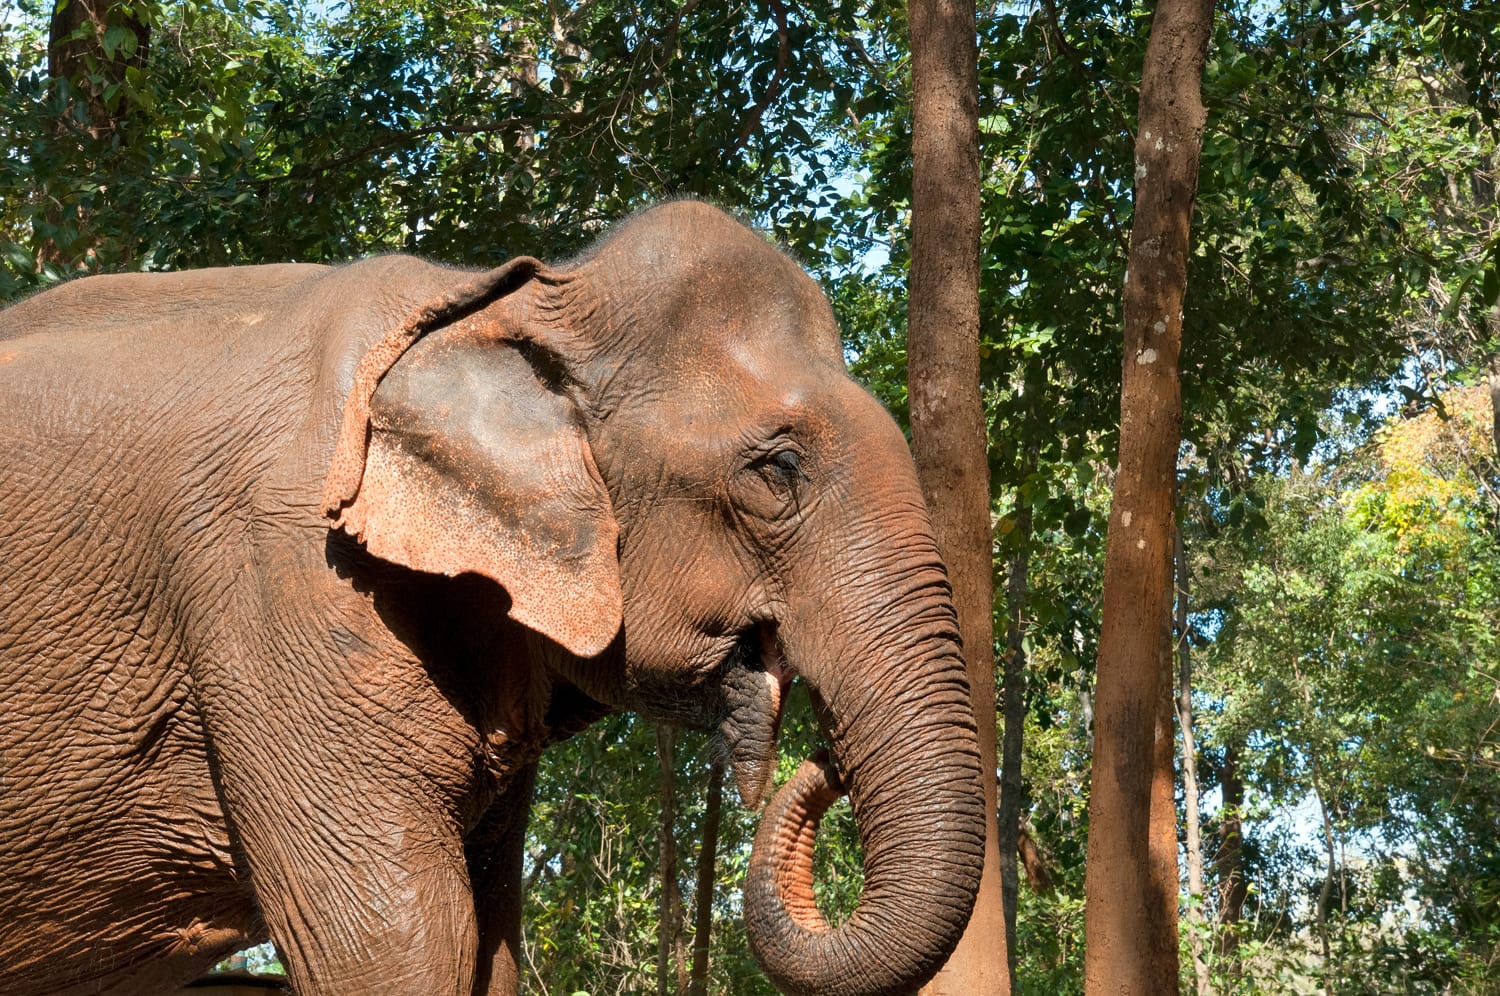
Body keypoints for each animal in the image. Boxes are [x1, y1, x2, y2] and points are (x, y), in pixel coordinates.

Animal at [0, 200, 985, 996]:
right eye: (777, 469)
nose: (819, 757)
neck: (507, 298)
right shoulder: (280, 583)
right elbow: (393, 947)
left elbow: (489, 936)